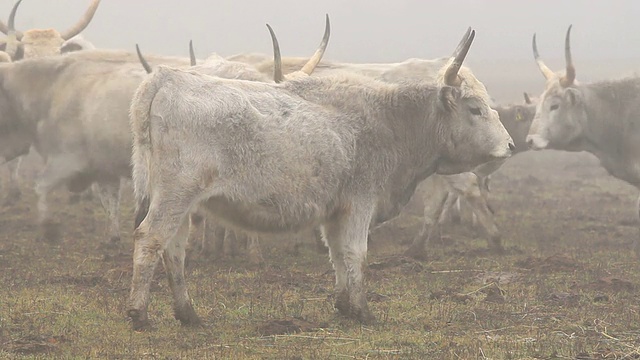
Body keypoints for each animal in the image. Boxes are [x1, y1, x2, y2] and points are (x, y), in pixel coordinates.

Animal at [129, 28, 516, 330]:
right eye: (475, 109)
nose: (510, 145)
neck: (388, 121)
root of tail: (167, 79)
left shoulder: (336, 211)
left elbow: (338, 255)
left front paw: (345, 306)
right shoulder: (359, 204)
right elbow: (356, 253)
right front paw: (363, 312)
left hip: (180, 202)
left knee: (174, 249)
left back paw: (188, 314)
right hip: (175, 196)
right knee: (151, 239)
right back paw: (139, 315)